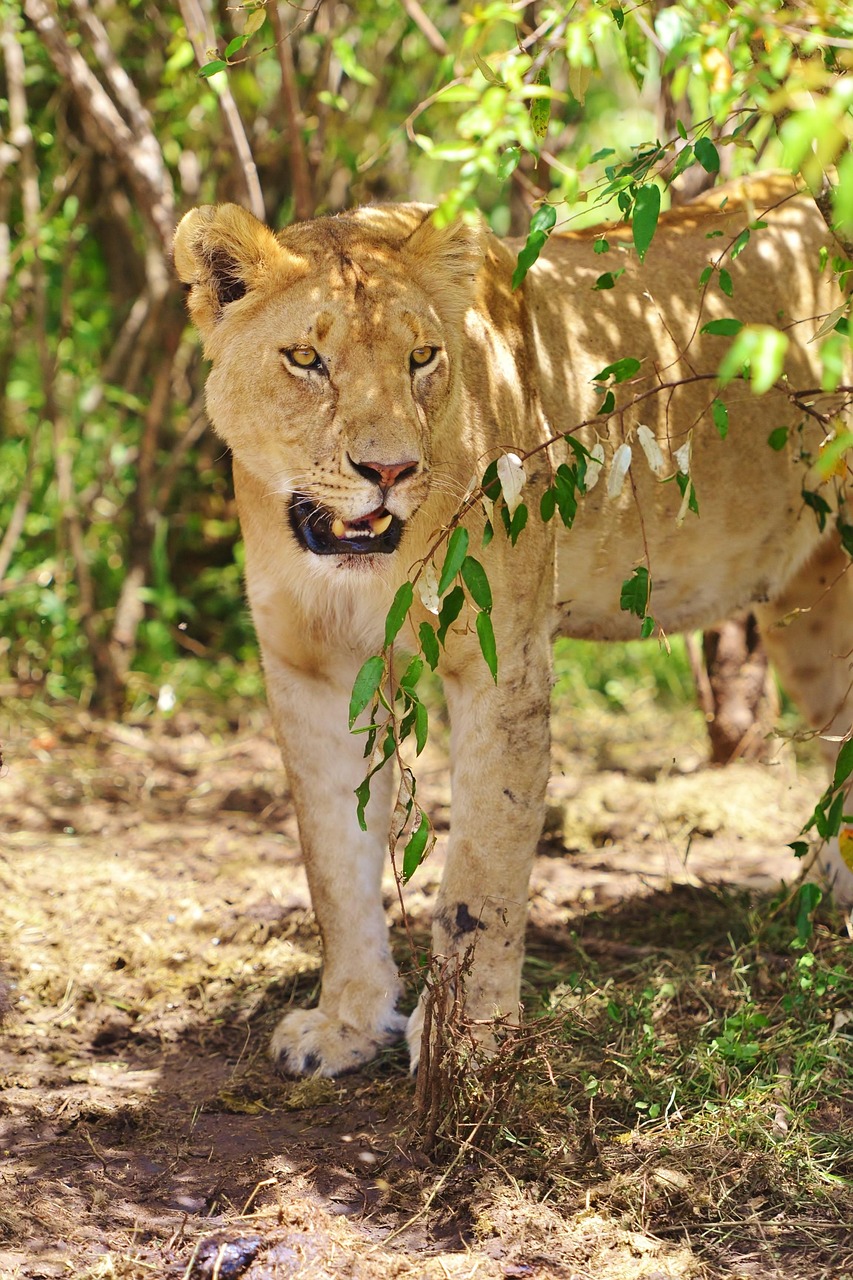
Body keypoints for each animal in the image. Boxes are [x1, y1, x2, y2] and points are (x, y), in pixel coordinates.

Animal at [174, 173, 852, 1077]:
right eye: (306, 360)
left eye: (421, 358)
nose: (389, 470)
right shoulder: (309, 670)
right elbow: (332, 862)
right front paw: (347, 1023)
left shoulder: (501, 661)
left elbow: (482, 868)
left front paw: (467, 1039)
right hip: (810, 610)